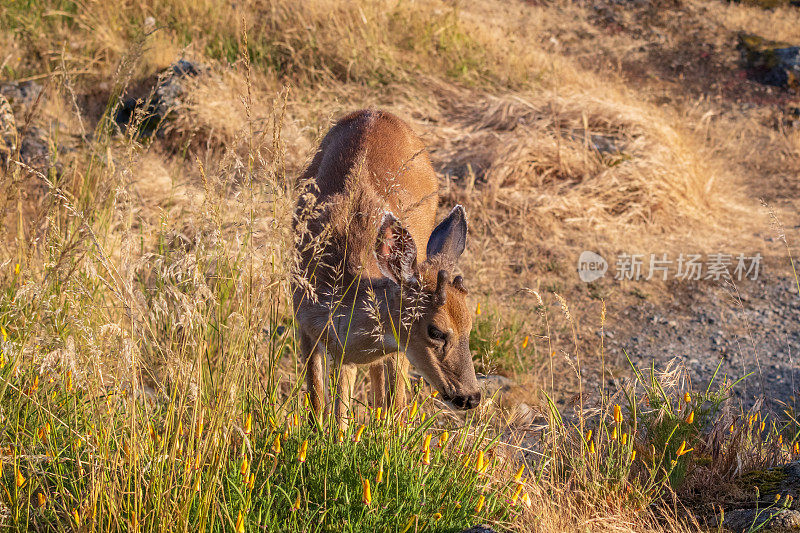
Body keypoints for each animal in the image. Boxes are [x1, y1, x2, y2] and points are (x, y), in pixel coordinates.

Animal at [294, 108, 482, 428]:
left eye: (469, 326)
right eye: (435, 331)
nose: (469, 397)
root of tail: (376, 112)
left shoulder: (393, 348)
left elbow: (393, 408)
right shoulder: (306, 325)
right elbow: (320, 407)